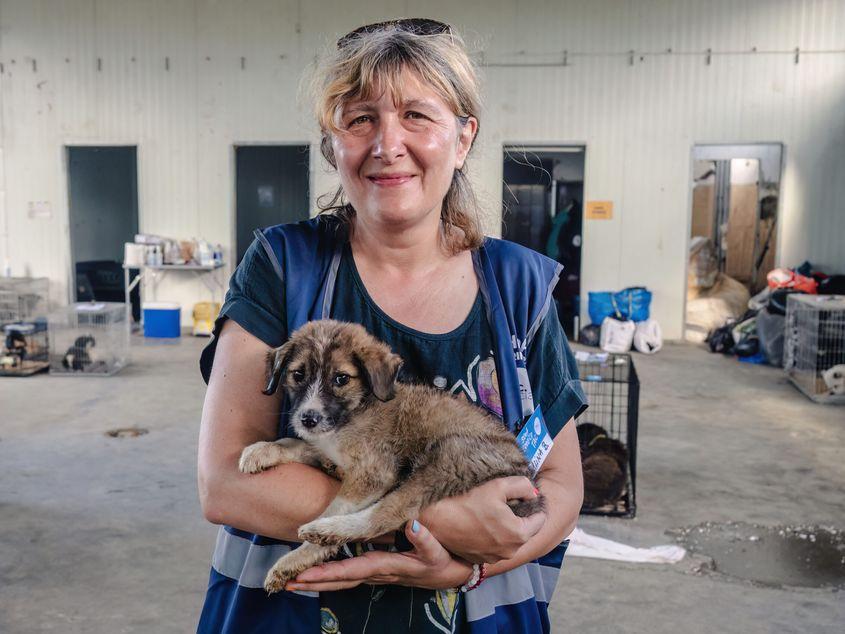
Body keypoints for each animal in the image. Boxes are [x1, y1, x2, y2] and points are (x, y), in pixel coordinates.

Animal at [236, 320, 548, 592]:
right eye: (298, 375)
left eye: (341, 378)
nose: (308, 419)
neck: (357, 409)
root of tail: (530, 483)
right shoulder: (326, 445)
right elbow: (294, 443)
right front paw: (260, 451)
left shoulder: (376, 471)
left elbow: (338, 505)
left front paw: (301, 556)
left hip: (449, 457)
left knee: (387, 513)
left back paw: (322, 531)